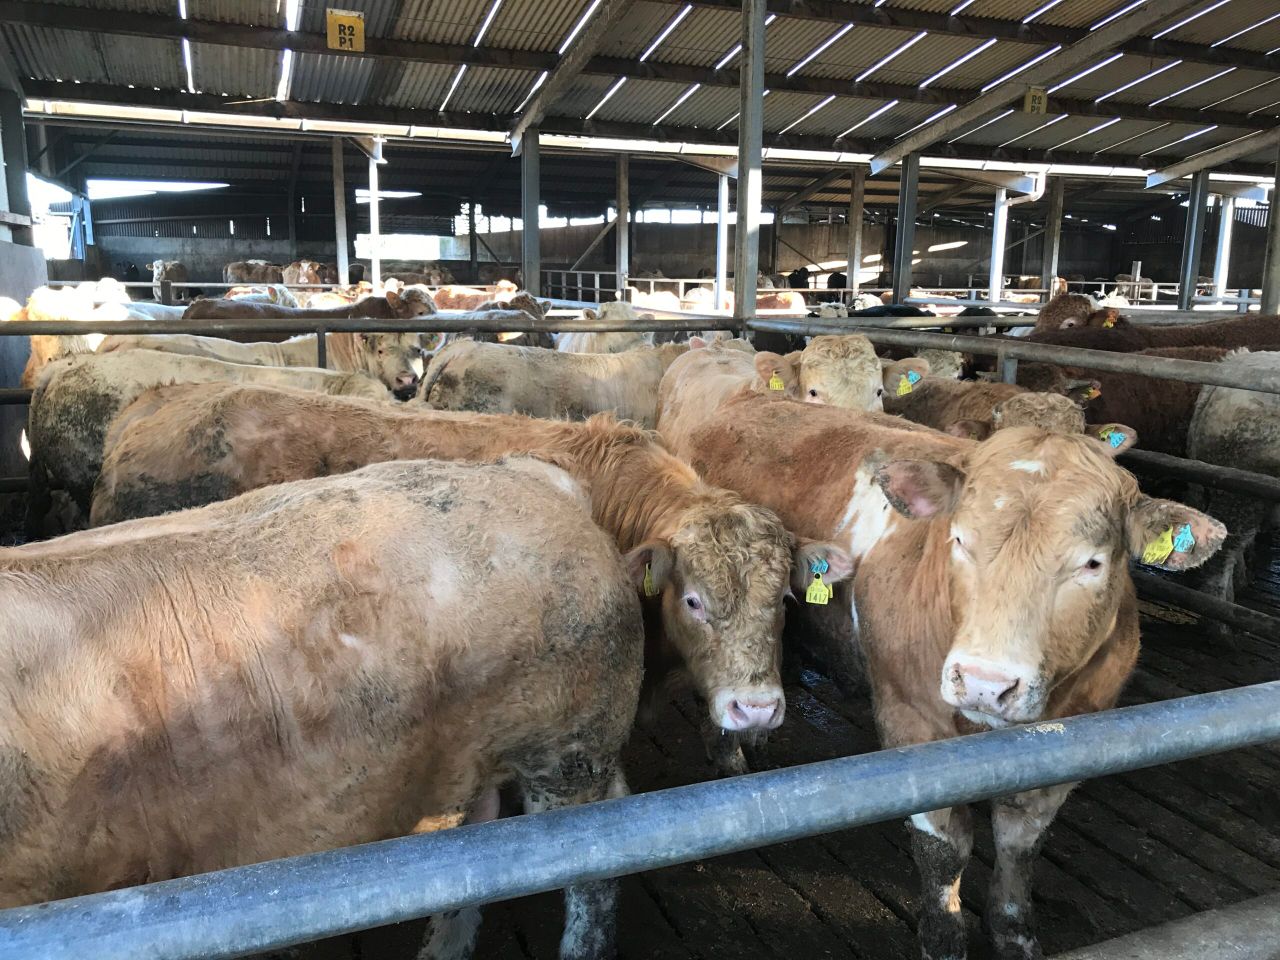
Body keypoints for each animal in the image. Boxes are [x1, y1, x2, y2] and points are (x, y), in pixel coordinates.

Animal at [658, 389, 1226, 960]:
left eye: (1092, 563)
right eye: (958, 540)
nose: (984, 682)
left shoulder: (1074, 743)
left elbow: (1021, 846)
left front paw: (1015, 933)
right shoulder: (912, 721)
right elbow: (943, 850)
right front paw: (944, 936)